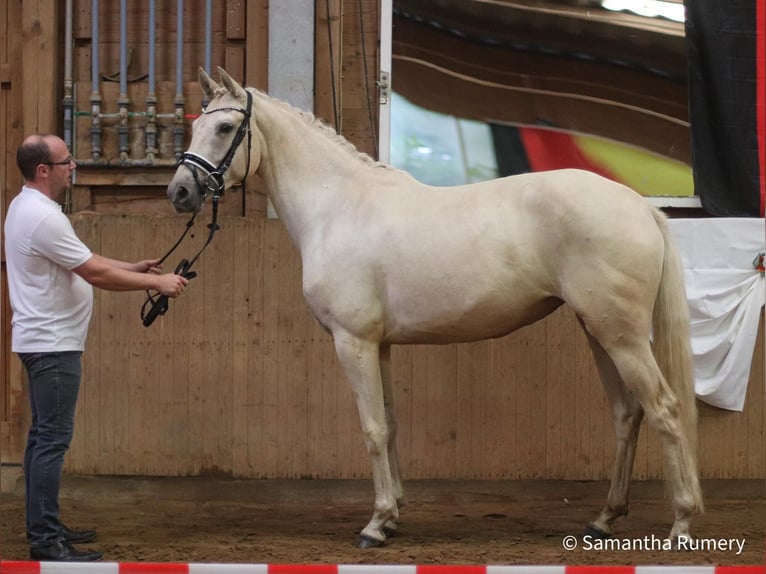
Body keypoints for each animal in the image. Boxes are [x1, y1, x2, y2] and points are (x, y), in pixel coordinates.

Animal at [167, 67, 703, 548]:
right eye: (194, 127)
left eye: (225, 128)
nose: (180, 192)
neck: (339, 207)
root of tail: (639, 203)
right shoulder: (379, 345)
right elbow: (390, 424)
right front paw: (394, 516)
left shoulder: (352, 342)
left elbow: (372, 429)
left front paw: (375, 525)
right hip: (599, 330)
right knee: (627, 414)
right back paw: (604, 519)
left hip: (622, 337)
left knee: (665, 409)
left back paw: (681, 523)